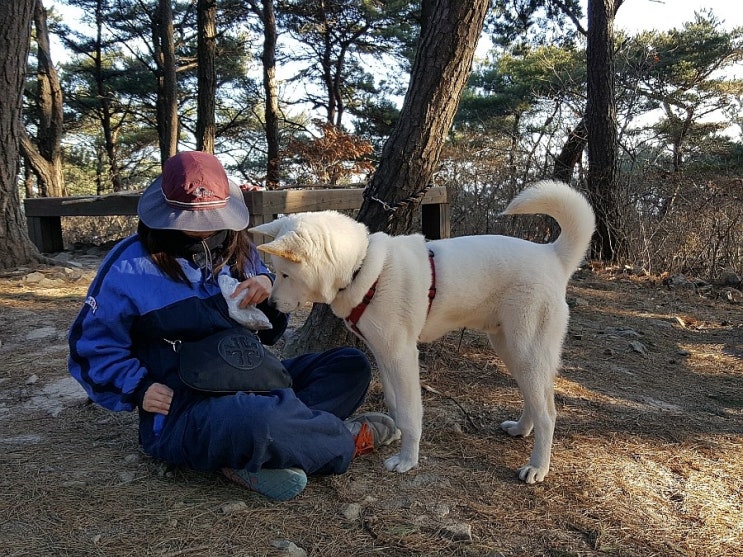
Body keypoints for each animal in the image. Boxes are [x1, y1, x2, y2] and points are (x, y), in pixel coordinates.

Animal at [253, 180, 596, 480]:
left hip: (524, 351)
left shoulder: (402, 356)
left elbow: (410, 413)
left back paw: (538, 467)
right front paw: (393, 435)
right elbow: (394, 403)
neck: (364, 268)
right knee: (537, 398)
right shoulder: (383, 355)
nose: (270, 304)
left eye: (285, 274)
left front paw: (407, 460)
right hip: (511, 349)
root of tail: (552, 255)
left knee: (548, 414)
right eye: (275, 272)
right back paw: (522, 429)